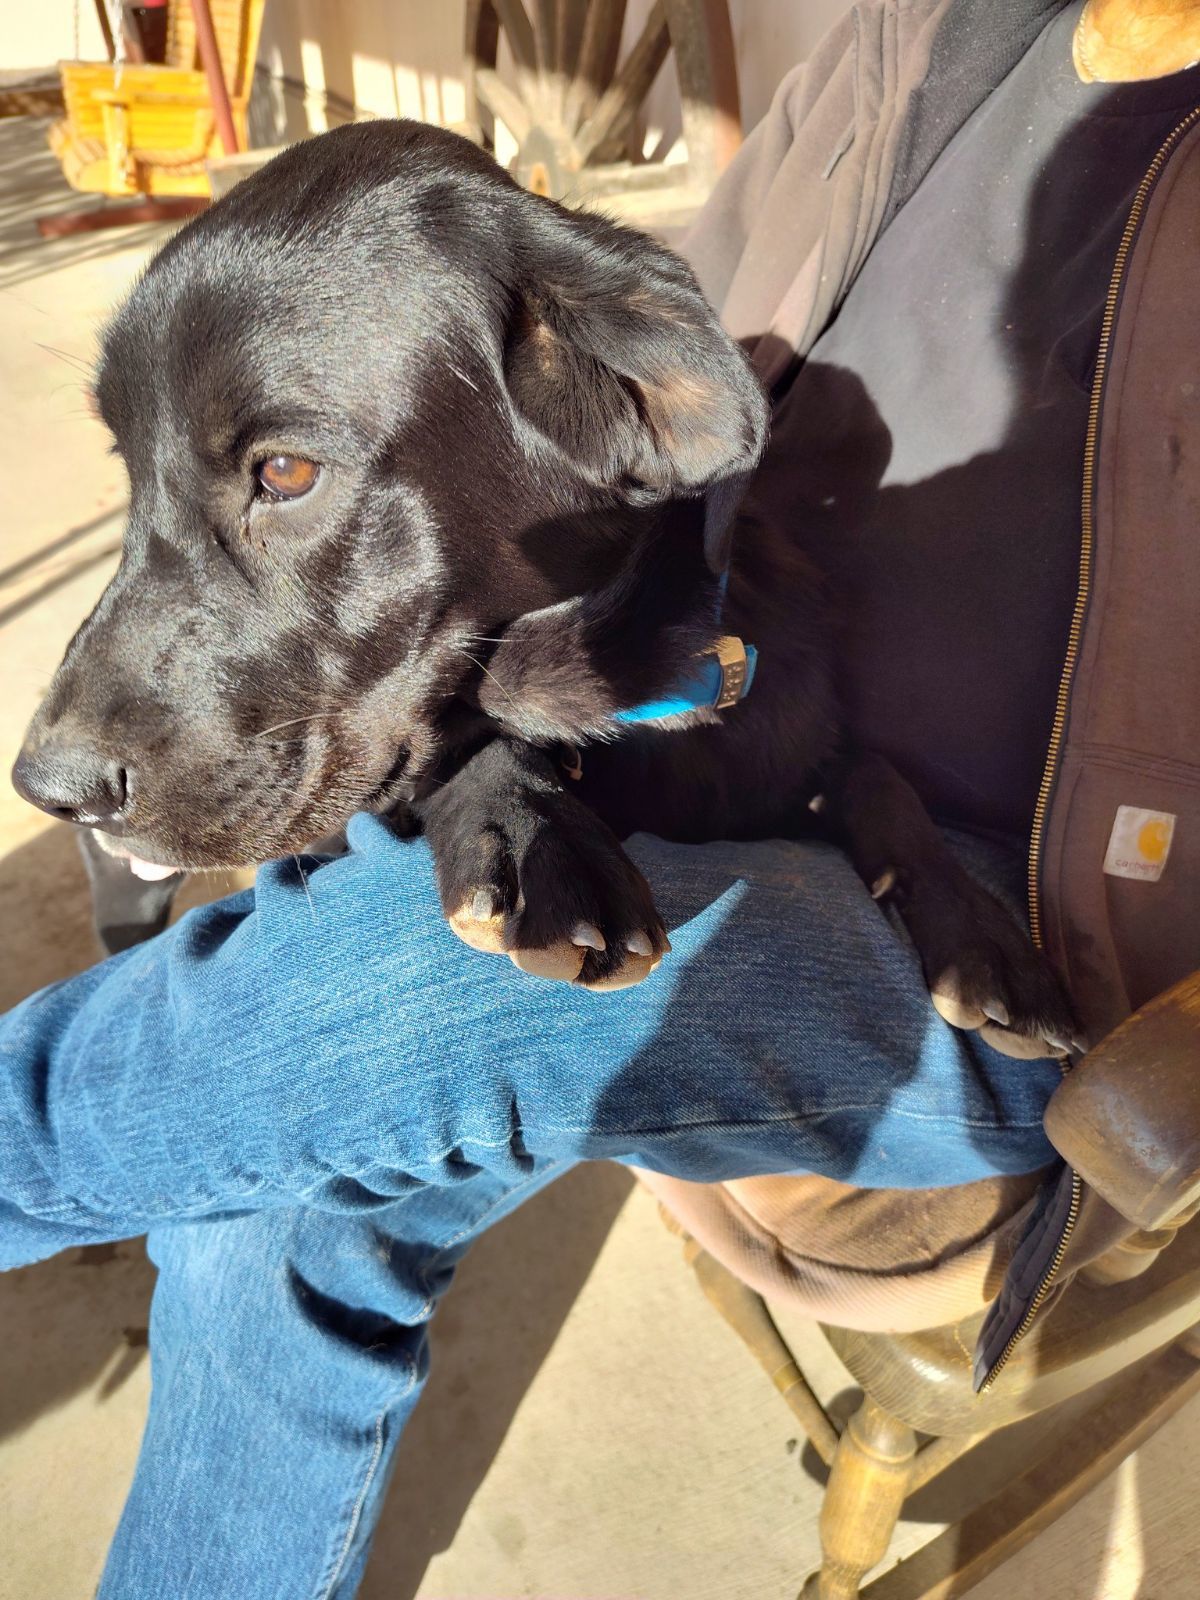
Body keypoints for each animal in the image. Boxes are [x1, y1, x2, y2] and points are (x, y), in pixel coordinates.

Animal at [11, 124, 1081, 1049]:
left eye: (284, 472)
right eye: (127, 464)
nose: (46, 789)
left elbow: (876, 773)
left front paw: (985, 936)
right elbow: (471, 741)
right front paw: (534, 834)